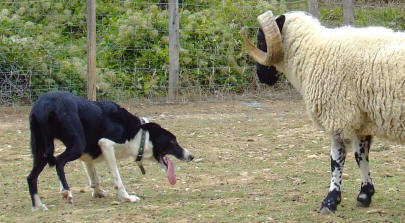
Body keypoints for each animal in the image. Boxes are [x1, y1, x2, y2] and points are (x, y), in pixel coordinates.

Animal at [27, 90, 193, 211]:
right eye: (172, 141)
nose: (191, 156)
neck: (139, 134)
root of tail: (44, 105)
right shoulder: (106, 144)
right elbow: (117, 178)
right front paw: (126, 197)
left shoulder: (87, 154)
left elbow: (94, 177)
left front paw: (98, 192)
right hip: (76, 145)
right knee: (59, 162)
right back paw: (66, 191)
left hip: (41, 152)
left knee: (31, 177)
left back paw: (38, 205)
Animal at [241, 10, 404, 214]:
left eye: (261, 41)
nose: (262, 76)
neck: (314, 52)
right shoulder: (361, 120)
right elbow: (361, 156)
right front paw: (365, 194)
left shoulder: (337, 115)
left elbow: (336, 160)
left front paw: (330, 201)